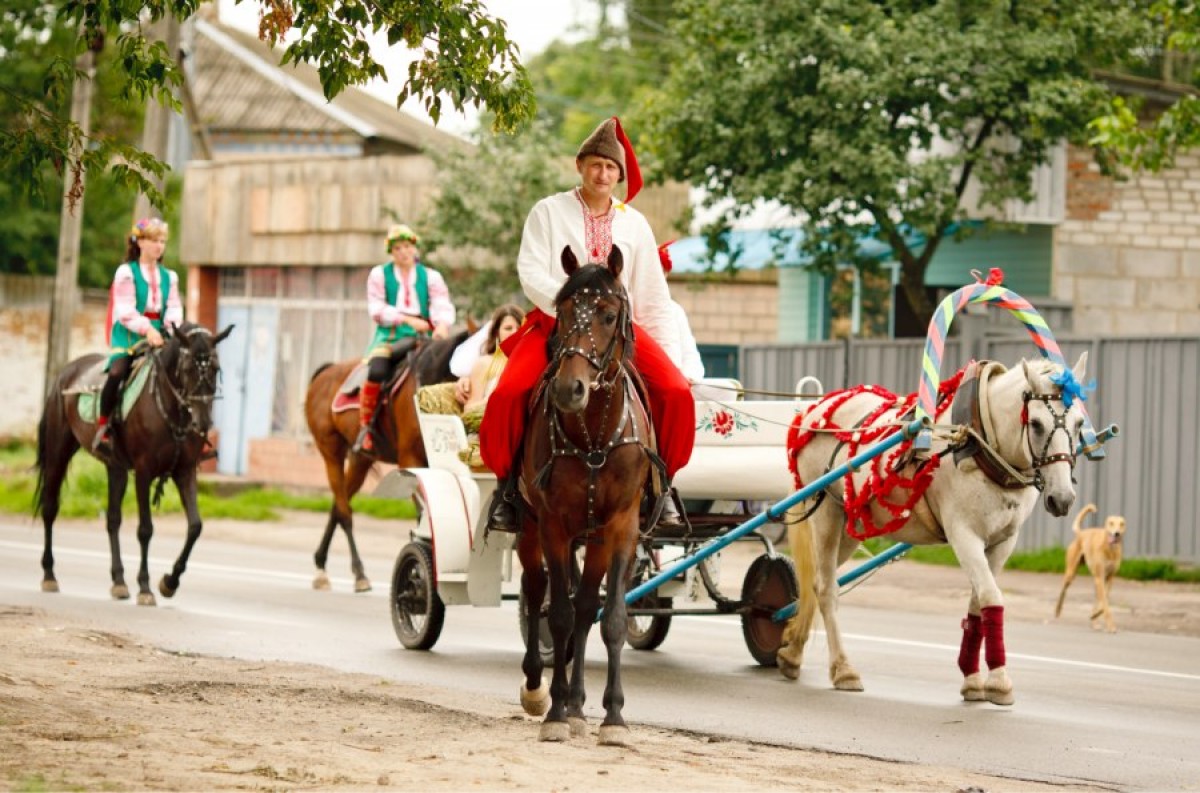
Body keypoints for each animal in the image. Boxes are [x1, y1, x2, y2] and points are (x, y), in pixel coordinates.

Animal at [34, 319, 236, 602]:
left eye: (216, 368)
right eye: (187, 369)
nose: (203, 423)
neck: (170, 409)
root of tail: (66, 372)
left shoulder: (185, 471)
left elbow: (195, 526)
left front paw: (169, 582)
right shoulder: (143, 472)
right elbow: (145, 529)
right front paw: (145, 586)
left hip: (115, 467)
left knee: (112, 520)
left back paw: (119, 581)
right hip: (57, 452)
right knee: (50, 508)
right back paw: (49, 575)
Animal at [302, 323, 465, 590]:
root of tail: (325, 373)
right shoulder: (411, 460)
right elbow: (423, 516)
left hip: (361, 460)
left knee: (338, 505)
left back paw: (322, 566)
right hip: (331, 452)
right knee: (344, 512)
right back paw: (357, 573)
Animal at [513, 245, 652, 743]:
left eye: (609, 315)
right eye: (564, 310)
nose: (569, 389)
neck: (593, 435)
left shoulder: (621, 527)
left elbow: (610, 617)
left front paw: (613, 715)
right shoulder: (553, 524)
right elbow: (557, 615)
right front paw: (554, 712)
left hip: (593, 538)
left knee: (587, 604)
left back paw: (577, 704)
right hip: (529, 527)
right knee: (536, 589)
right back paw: (538, 688)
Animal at [772, 352, 1094, 705]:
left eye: (1079, 423)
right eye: (1035, 424)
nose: (1062, 498)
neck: (978, 442)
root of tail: (816, 409)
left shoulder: (1003, 541)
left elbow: (978, 603)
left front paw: (972, 679)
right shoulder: (963, 534)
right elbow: (991, 596)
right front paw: (999, 681)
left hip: (848, 527)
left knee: (812, 584)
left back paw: (791, 652)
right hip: (826, 513)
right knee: (826, 589)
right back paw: (843, 669)